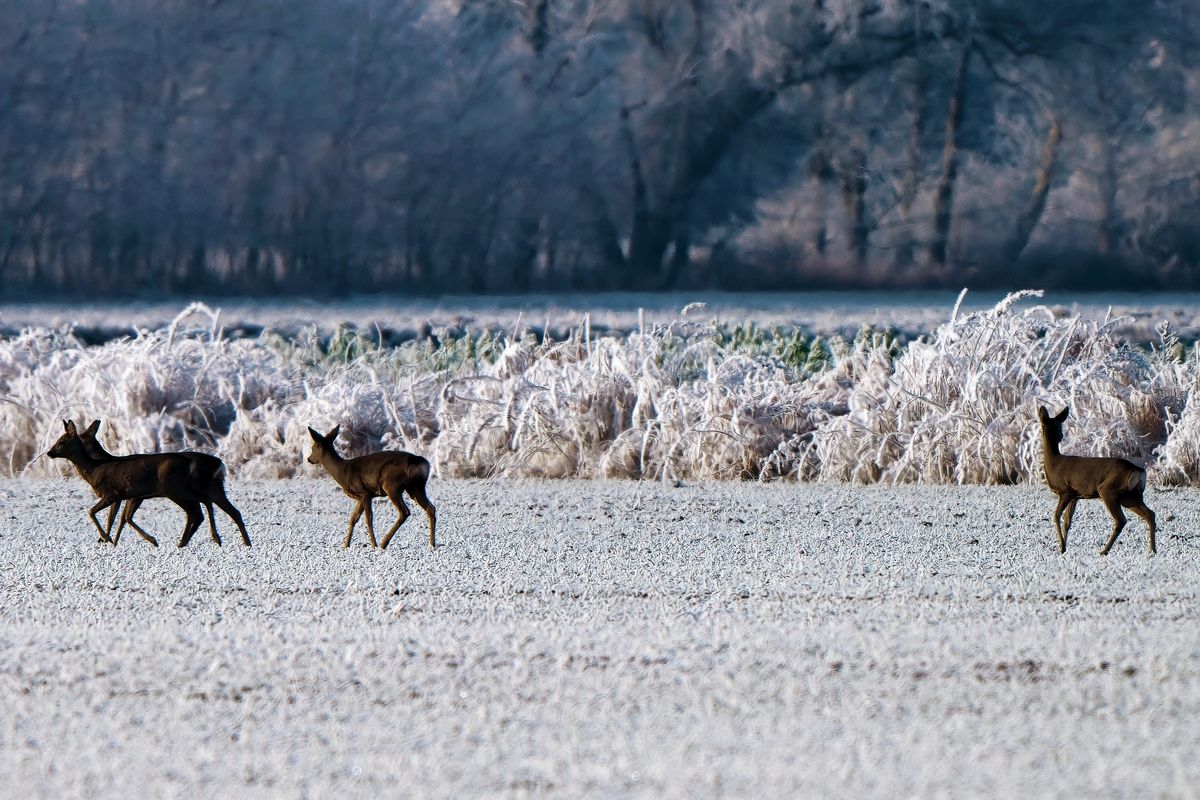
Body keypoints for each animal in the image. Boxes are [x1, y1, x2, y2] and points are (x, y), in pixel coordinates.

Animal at [46, 422, 205, 546]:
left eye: (61, 442)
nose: (49, 453)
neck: (94, 469)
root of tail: (189, 463)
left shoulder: (112, 494)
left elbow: (92, 512)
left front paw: (107, 538)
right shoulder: (122, 496)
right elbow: (113, 518)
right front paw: (109, 541)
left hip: (173, 489)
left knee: (194, 512)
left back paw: (180, 543)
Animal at [307, 424, 439, 551]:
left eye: (313, 448)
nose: (309, 459)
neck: (342, 471)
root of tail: (422, 463)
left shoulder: (364, 493)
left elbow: (368, 519)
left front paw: (373, 545)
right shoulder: (361, 497)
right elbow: (353, 518)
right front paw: (346, 545)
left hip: (392, 485)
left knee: (405, 511)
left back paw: (383, 543)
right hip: (416, 487)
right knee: (431, 508)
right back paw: (432, 544)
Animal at [1036, 407, 1156, 556]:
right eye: (1058, 426)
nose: (1061, 436)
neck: (1054, 463)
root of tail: (1138, 470)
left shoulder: (1065, 491)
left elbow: (1056, 516)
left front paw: (1061, 548)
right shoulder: (1075, 496)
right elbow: (1067, 522)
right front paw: (1064, 546)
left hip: (1108, 490)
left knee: (1121, 519)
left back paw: (1104, 551)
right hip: (1130, 496)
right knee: (1150, 514)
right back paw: (1153, 550)